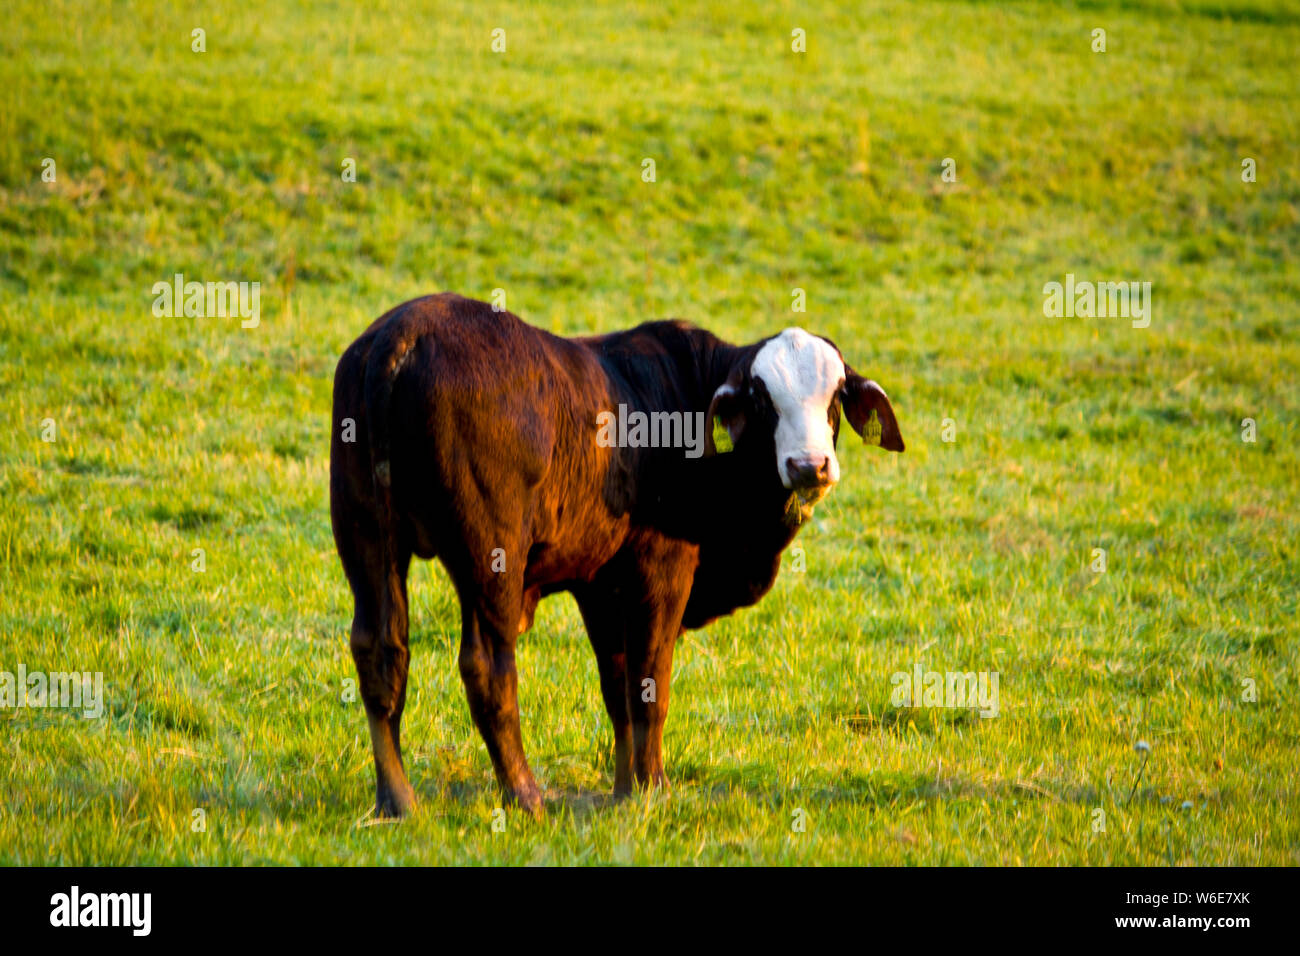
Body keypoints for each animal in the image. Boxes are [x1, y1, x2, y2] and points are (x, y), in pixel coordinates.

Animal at [330, 293, 904, 818]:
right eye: (764, 401)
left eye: (835, 397)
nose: (809, 465)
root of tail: (400, 334)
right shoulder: (662, 569)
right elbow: (650, 684)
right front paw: (653, 788)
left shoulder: (602, 586)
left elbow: (619, 689)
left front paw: (626, 788)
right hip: (490, 558)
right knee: (486, 667)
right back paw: (525, 795)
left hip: (366, 537)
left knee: (381, 653)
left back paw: (398, 801)